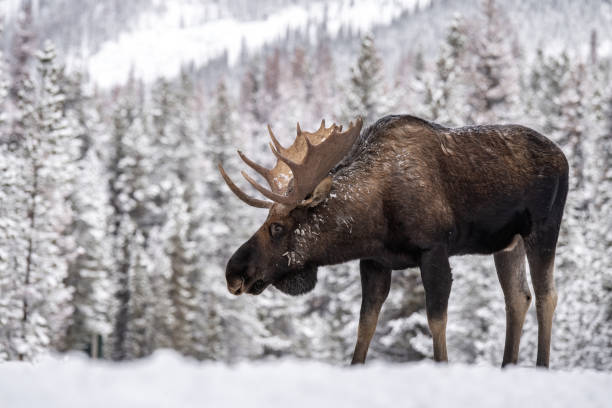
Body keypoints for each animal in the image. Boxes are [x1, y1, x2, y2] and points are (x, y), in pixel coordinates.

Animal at [218, 115, 568, 366]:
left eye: (277, 227)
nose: (233, 272)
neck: (374, 219)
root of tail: (564, 157)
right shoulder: (374, 262)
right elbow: (364, 327)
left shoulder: (434, 250)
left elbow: (436, 321)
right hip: (508, 243)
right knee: (518, 298)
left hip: (543, 227)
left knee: (546, 296)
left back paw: (541, 366)